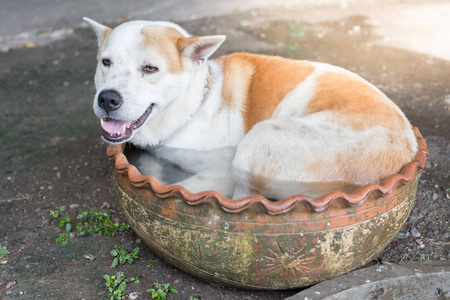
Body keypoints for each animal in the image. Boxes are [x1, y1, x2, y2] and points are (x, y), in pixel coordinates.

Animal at [84, 17, 418, 199]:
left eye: (150, 68)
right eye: (106, 62)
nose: (107, 99)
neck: (194, 104)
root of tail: (408, 149)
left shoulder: (219, 172)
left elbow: (189, 186)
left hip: (257, 141)